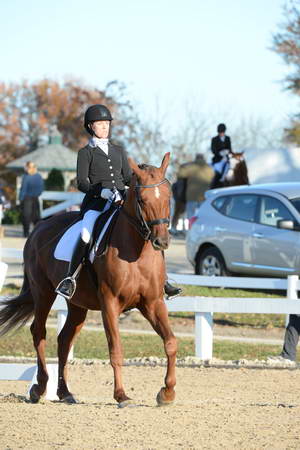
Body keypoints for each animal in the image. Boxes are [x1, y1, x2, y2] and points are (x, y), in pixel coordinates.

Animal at [0, 153, 177, 406]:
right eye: (142, 200)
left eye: (168, 196)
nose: (161, 241)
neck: (136, 252)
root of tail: (38, 228)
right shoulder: (110, 303)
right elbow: (116, 349)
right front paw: (121, 395)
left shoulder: (153, 302)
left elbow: (170, 342)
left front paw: (167, 393)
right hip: (43, 293)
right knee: (39, 332)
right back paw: (39, 388)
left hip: (77, 304)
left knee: (64, 340)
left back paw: (65, 392)